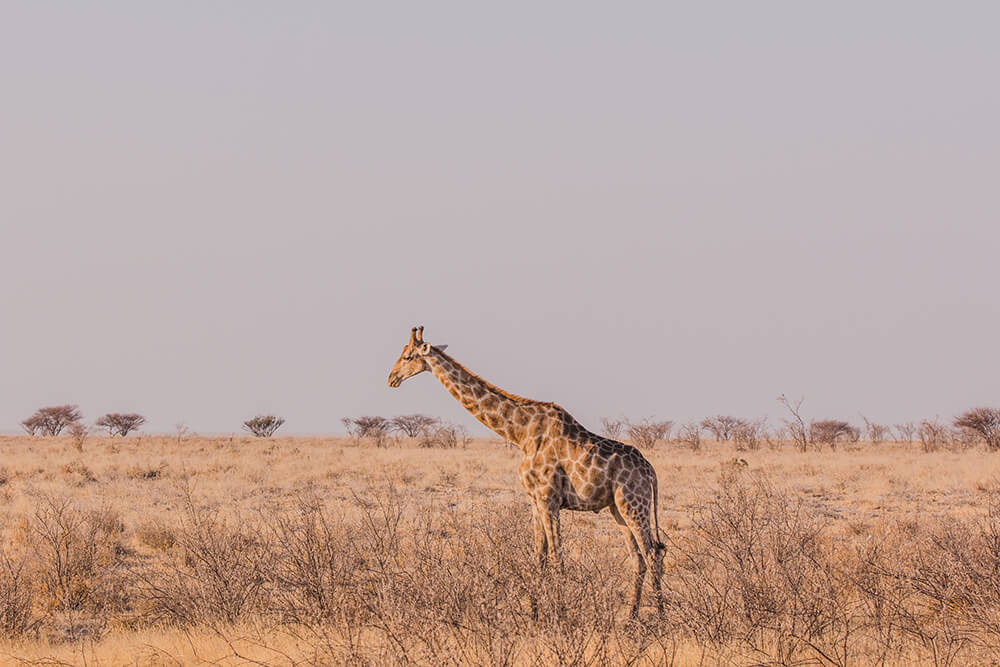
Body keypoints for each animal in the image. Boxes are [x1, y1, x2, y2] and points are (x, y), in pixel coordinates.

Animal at [388, 326, 664, 620]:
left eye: (407, 356)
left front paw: (560, 615)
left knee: (652, 554)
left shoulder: (548, 500)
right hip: (617, 508)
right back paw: (631, 618)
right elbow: (538, 558)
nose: (391, 379)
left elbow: (557, 559)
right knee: (639, 558)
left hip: (634, 504)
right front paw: (535, 614)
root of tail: (650, 471)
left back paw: (661, 616)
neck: (521, 433)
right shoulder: (534, 501)